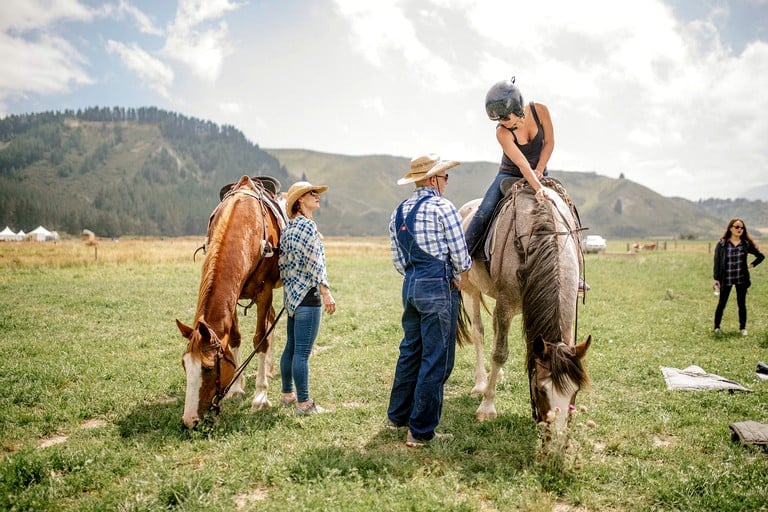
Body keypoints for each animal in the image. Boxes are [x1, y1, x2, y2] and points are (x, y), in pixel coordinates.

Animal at [176, 176, 284, 428]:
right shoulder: (233, 298)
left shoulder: (265, 292)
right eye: (185, 365)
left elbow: (260, 339)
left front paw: (260, 396)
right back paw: (268, 370)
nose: (189, 421)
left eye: (207, 369)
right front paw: (236, 388)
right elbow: (234, 338)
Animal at [460, 178, 592, 434]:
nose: (556, 435)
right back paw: (481, 383)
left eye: (575, 391)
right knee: (479, 333)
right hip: (470, 290)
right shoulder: (505, 303)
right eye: (541, 390)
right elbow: (500, 353)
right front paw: (487, 408)